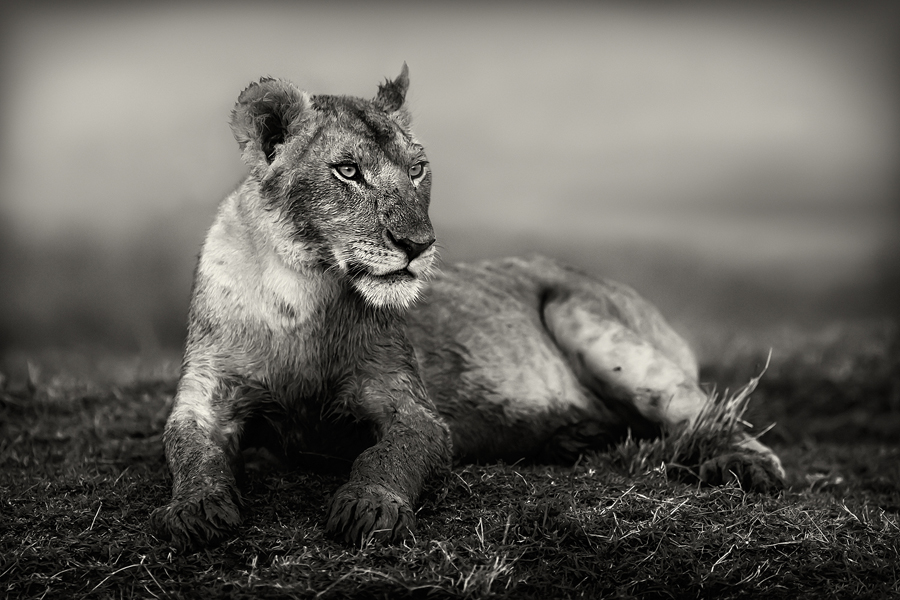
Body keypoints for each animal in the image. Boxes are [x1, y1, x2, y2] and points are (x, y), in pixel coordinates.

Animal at [150, 65, 784, 551]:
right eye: (348, 170)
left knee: (706, 411)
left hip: (581, 314)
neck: (299, 294)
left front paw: (369, 507)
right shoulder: (203, 400)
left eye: (417, 169)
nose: (418, 244)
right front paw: (197, 510)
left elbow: (388, 457)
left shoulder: (412, 408)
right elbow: (187, 451)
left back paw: (745, 466)